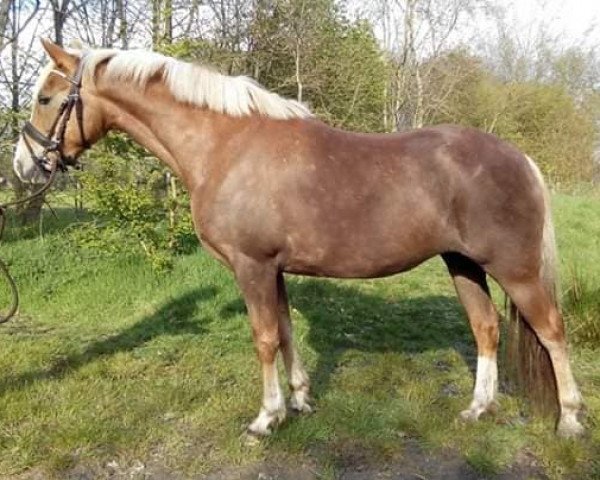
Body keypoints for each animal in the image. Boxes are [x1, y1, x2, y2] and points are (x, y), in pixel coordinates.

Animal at [14, 40, 584, 438]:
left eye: (45, 97)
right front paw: (302, 401)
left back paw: (570, 420)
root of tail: (520, 158)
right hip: (462, 263)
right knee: (486, 329)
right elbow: (286, 332)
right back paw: (478, 408)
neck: (226, 146)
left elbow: (265, 338)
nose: (23, 165)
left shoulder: (252, 266)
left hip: (515, 270)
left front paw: (266, 418)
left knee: (552, 331)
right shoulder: (275, 270)